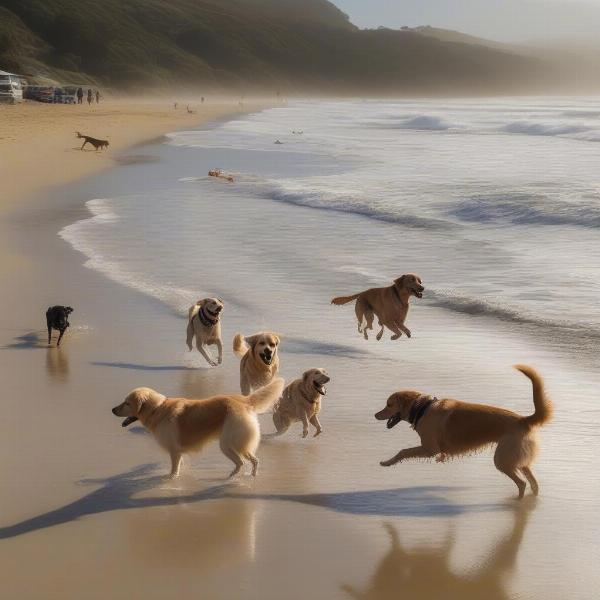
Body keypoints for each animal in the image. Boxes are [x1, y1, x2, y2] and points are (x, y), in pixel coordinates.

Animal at [112, 380, 286, 478]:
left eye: (127, 403)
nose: (112, 409)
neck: (157, 409)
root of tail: (243, 400)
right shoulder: (178, 453)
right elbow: (179, 465)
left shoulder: (174, 451)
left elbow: (174, 471)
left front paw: (170, 479)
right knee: (249, 461)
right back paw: (244, 476)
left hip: (229, 443)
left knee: (246, 461)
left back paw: (238, 476)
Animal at [376, 366, 552, 496]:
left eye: (389, 404)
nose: (375, 415)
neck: (422, 408)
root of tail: (524, 419)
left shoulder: (430, 449)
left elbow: (403, 452)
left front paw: (387, 462)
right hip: (517, 459)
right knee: (533, 483)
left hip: (502, 459)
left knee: (522, 483)